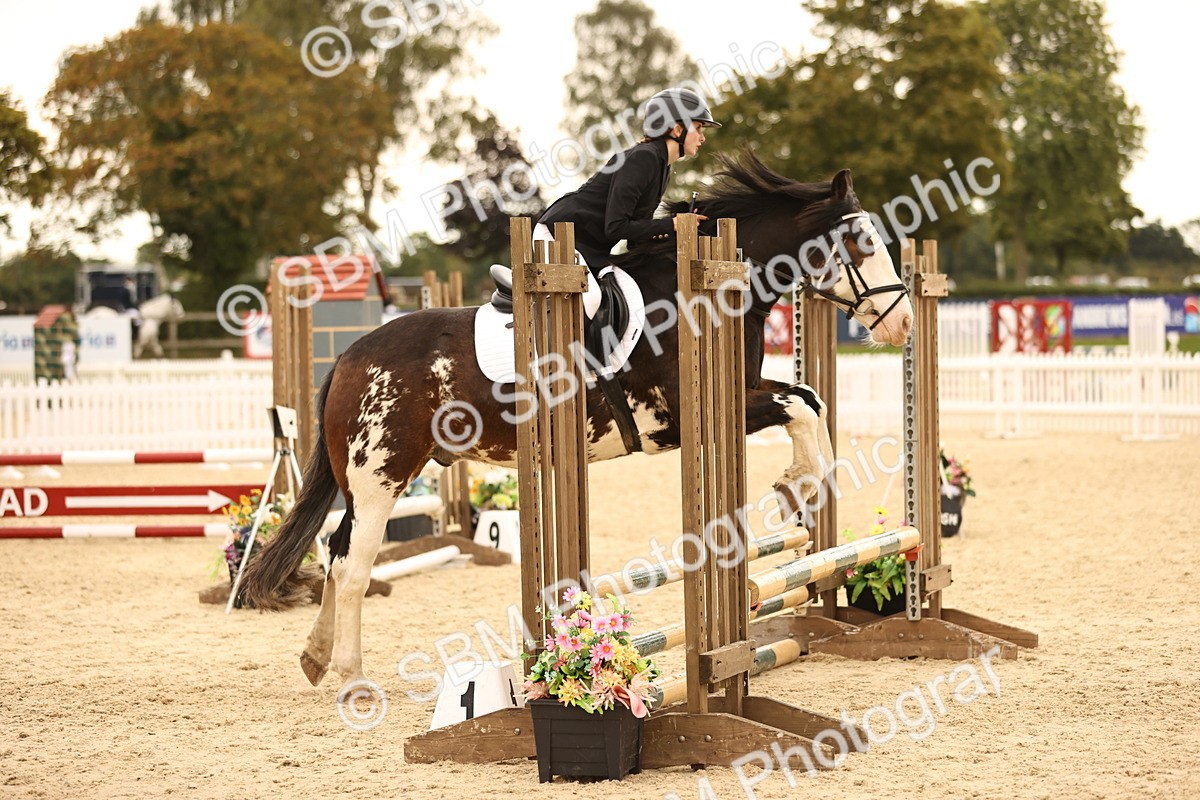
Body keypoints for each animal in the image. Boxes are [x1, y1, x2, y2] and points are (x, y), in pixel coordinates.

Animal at [242, 153, 915, 689]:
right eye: (861, 245)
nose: (904, 324)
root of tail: (350, 357)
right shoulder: (678, 419)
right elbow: (801, 407)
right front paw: (800, 483)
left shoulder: (742, 393)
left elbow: (809, 400)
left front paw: (799, 488)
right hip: (381, 474)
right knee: (354, 565)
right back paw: (352, 677)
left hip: (372, 477)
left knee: (335, 553)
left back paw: (316, 657)